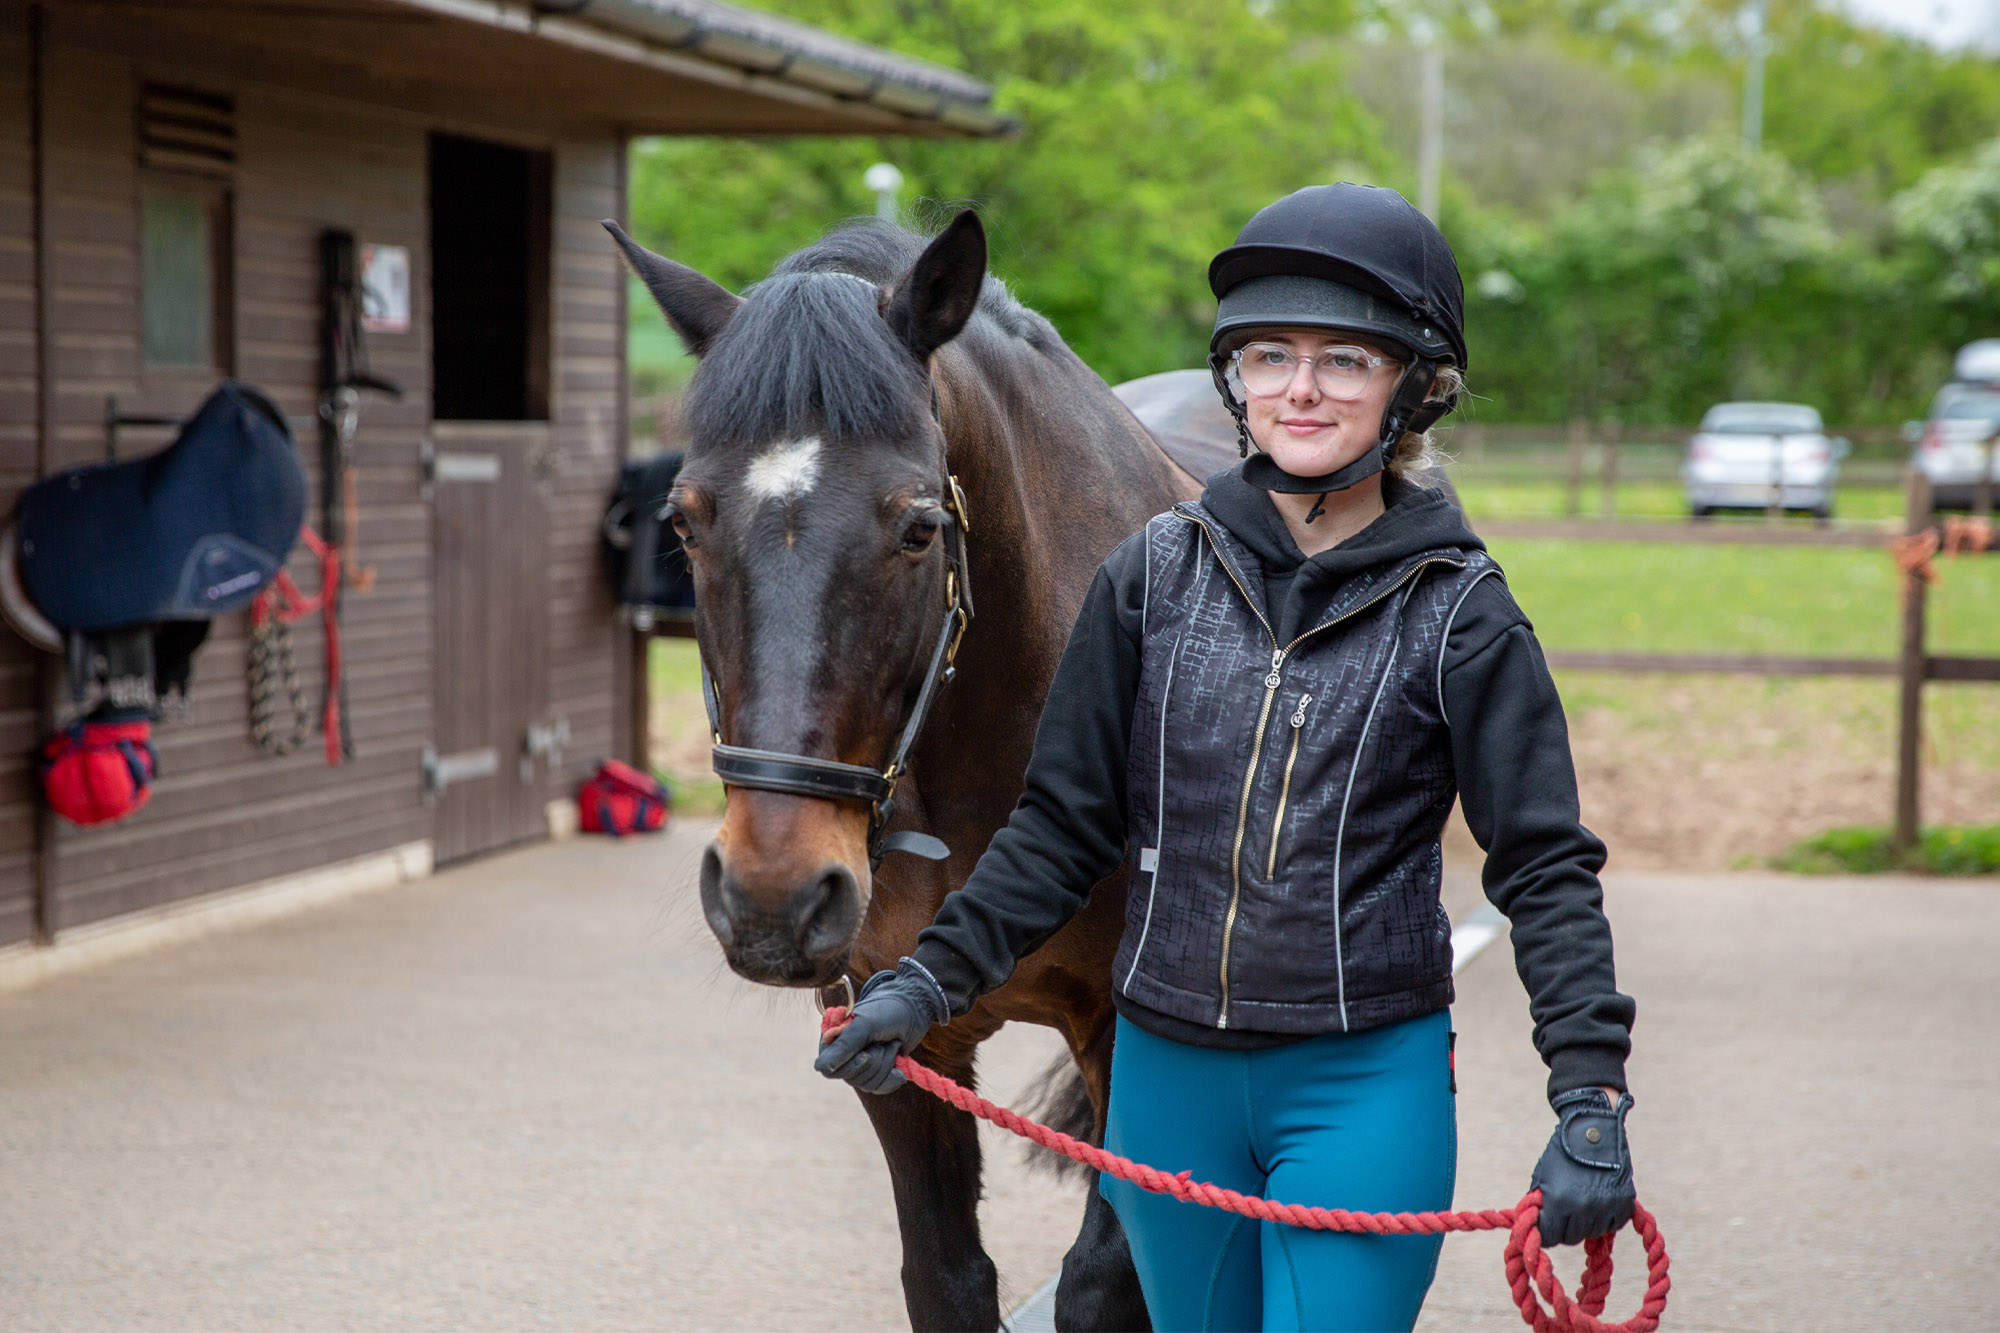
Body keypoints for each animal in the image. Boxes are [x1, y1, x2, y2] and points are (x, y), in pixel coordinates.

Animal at [608, 210, 1200, 1330]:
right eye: (684, 522)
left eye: (920, 527)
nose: (773, 894)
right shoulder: (896, 1040)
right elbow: (946, 1278)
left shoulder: (1127, 1037)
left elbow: (1107, 1283)